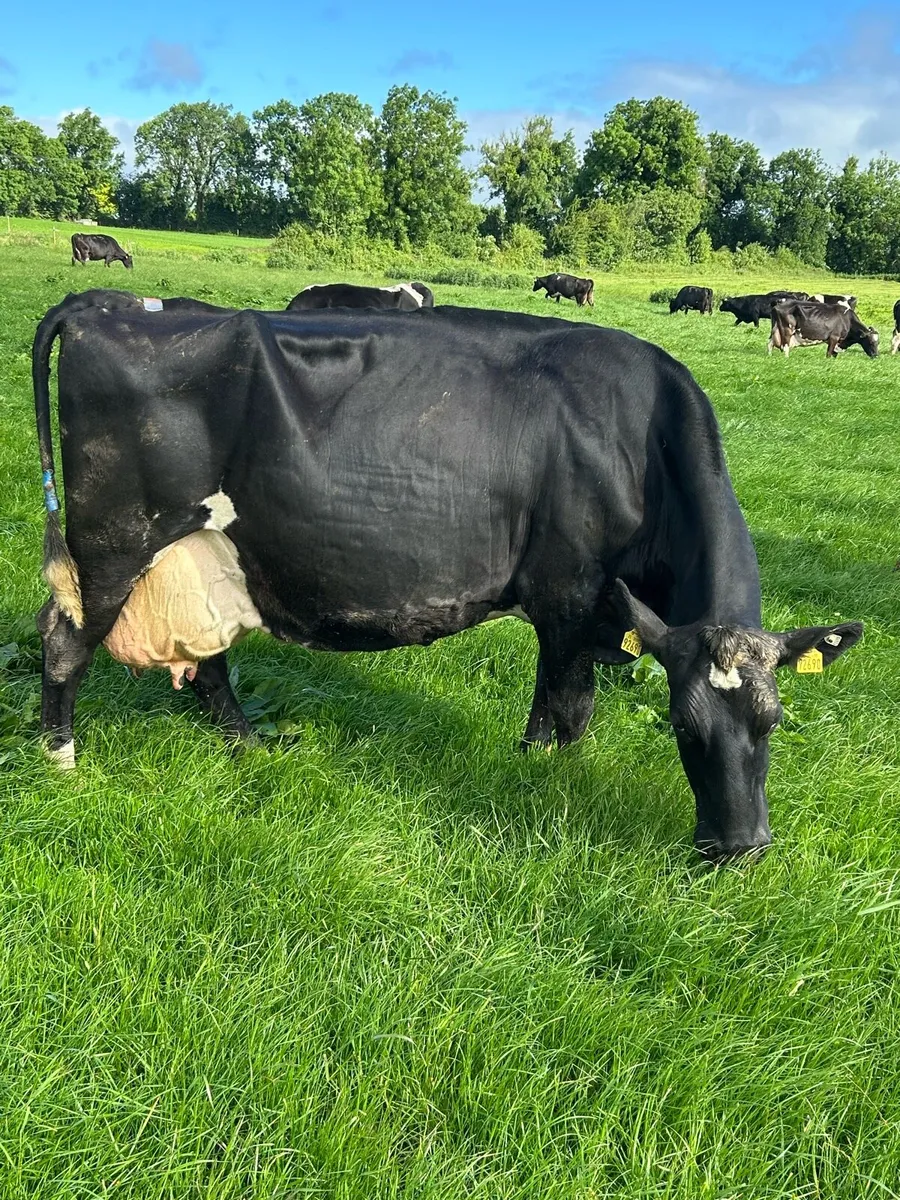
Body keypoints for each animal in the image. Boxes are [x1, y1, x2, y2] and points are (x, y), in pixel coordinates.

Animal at [32, 289, 863, 861]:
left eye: (773, 722)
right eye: (684, 727)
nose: (741, 848)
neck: (640, 438)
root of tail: (104, 303)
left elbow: (558, 704)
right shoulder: (568, 595)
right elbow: (568, 709)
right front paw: (548, 783)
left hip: (207, 559)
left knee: (207, 665)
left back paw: (253, 748)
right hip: (111, 545)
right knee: (64, 644)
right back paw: (62, 766)